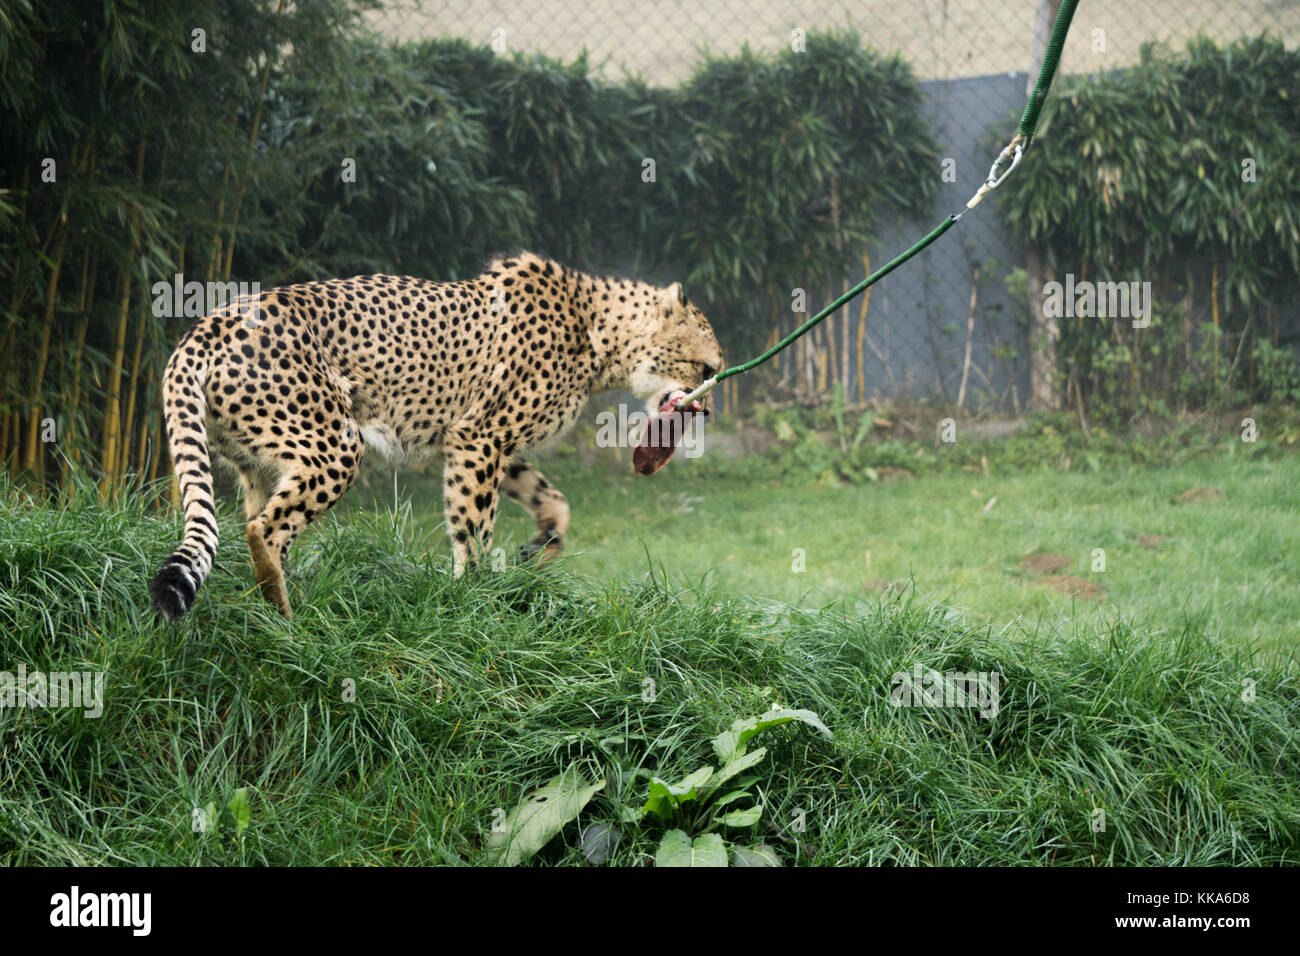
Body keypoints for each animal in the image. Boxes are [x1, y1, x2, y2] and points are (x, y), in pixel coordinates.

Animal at [149, 252, 723, 620]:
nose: (709, 412)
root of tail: (206, 325)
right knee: (263, 530)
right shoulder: (481, 436)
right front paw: (477, 601)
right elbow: (473, 527)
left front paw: (539, 546)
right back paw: (288, 622)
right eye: (706, 369)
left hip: (262, 459)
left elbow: (551, 499)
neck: (598, 331)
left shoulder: (472, 437)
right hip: (335, 443)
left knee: (264, 523)